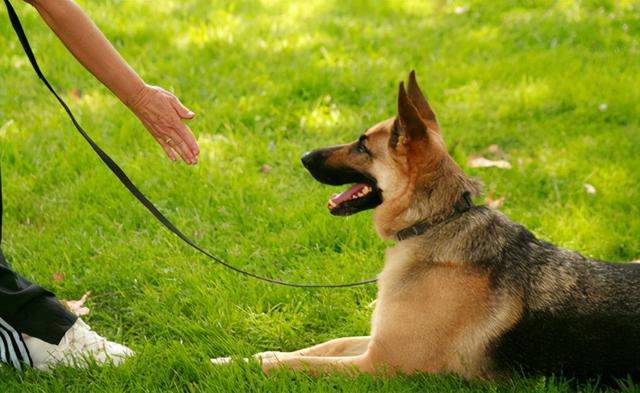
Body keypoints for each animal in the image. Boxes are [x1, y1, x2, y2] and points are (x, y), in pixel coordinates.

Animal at [214, 71, 640, 380]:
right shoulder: (375, 342)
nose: (303, 156)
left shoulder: (379, 364)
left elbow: (301, 363)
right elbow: (325, 345)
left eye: (362, 147)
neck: (434, 221)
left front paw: (243, 364)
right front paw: (245, 355)